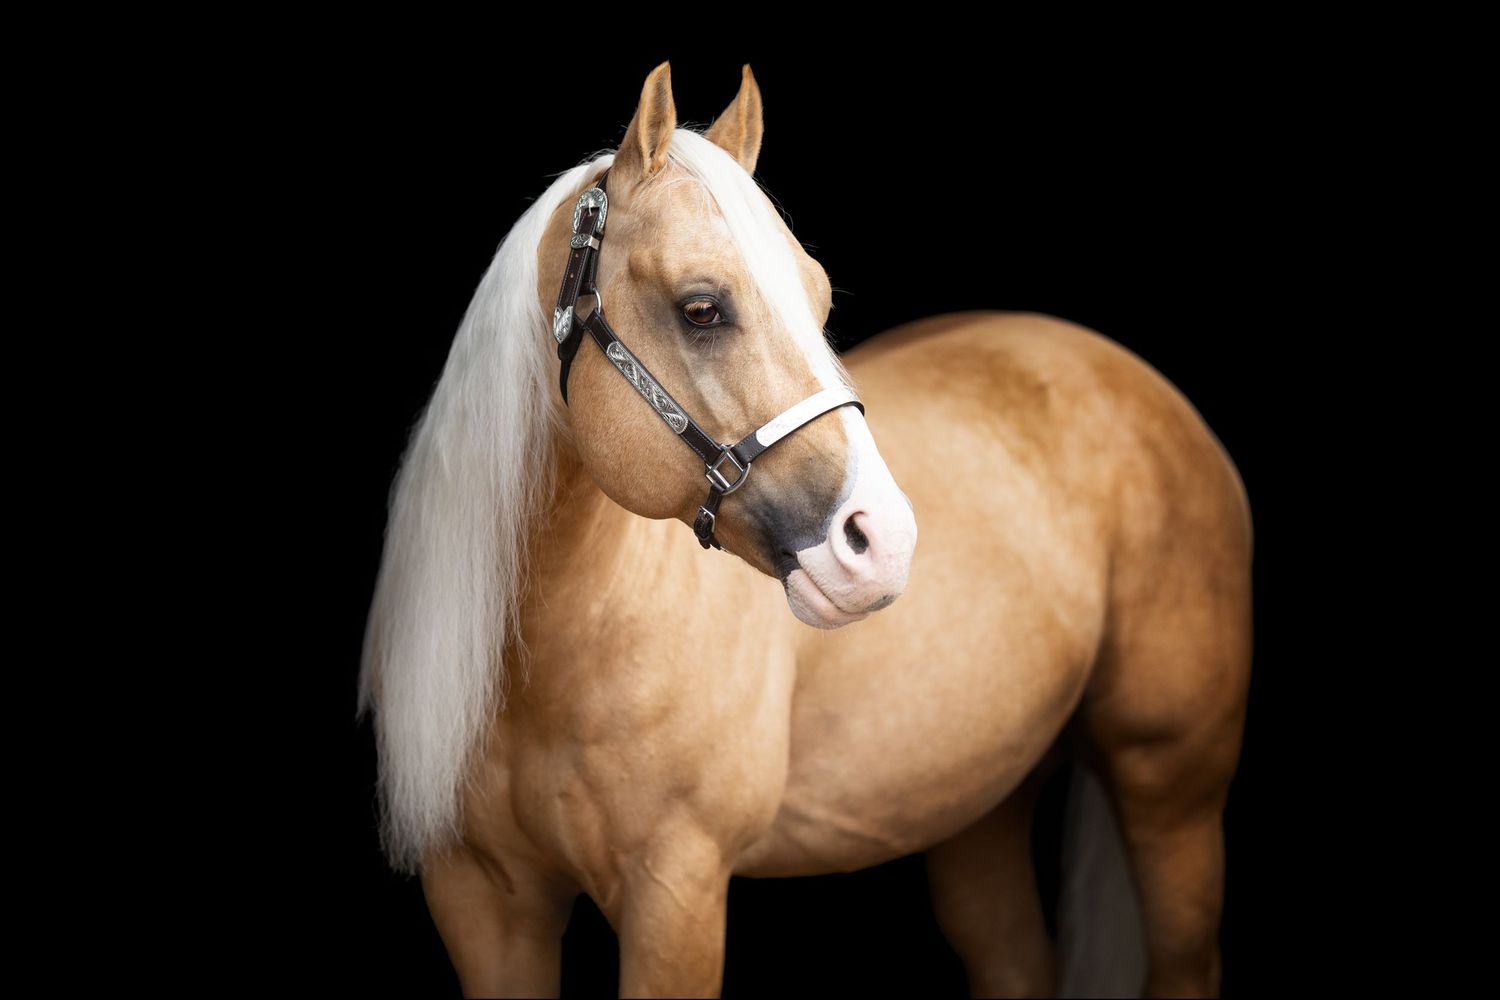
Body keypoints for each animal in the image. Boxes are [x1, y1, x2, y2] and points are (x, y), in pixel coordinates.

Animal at [358, 61, 1253, 998]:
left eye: (818, 297)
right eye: (702, 308)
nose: (883, 543)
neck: (553, 659)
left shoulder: (676, 893)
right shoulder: (483, 905)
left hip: (1172, 788)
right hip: (981, 804)